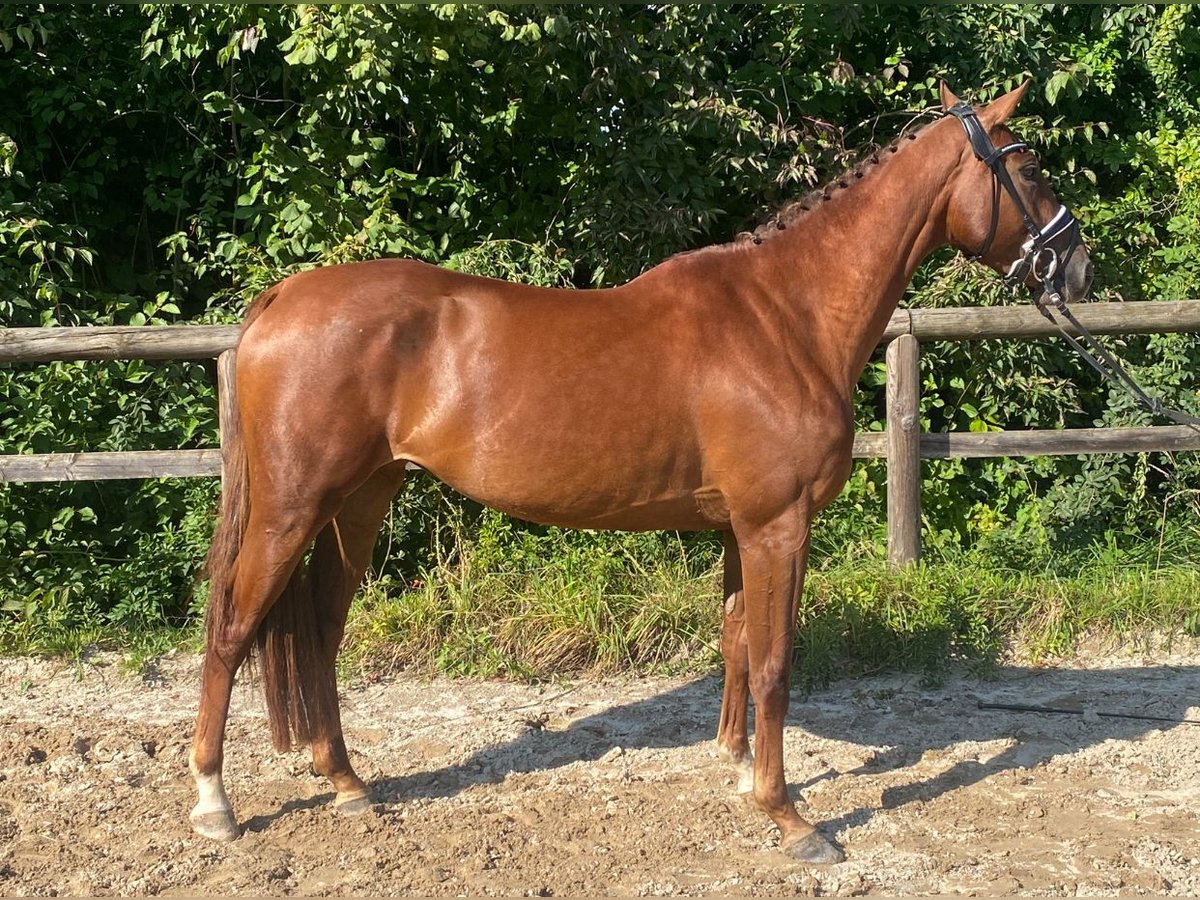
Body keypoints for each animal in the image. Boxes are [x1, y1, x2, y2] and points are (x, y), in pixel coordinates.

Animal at [189, 86, 1099, 868]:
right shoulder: (778, 524)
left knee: (317, 630)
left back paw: (346, 782)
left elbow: (739, 646)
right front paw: (790, 817)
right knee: (232, 628)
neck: (787, 316)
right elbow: (776, 664)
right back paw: (214, 802)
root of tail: (279, 300)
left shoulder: (741, 529)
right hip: (292, 506)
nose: (1078, 265)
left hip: (361, 501)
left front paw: (741, 773)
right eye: (1028, 168)